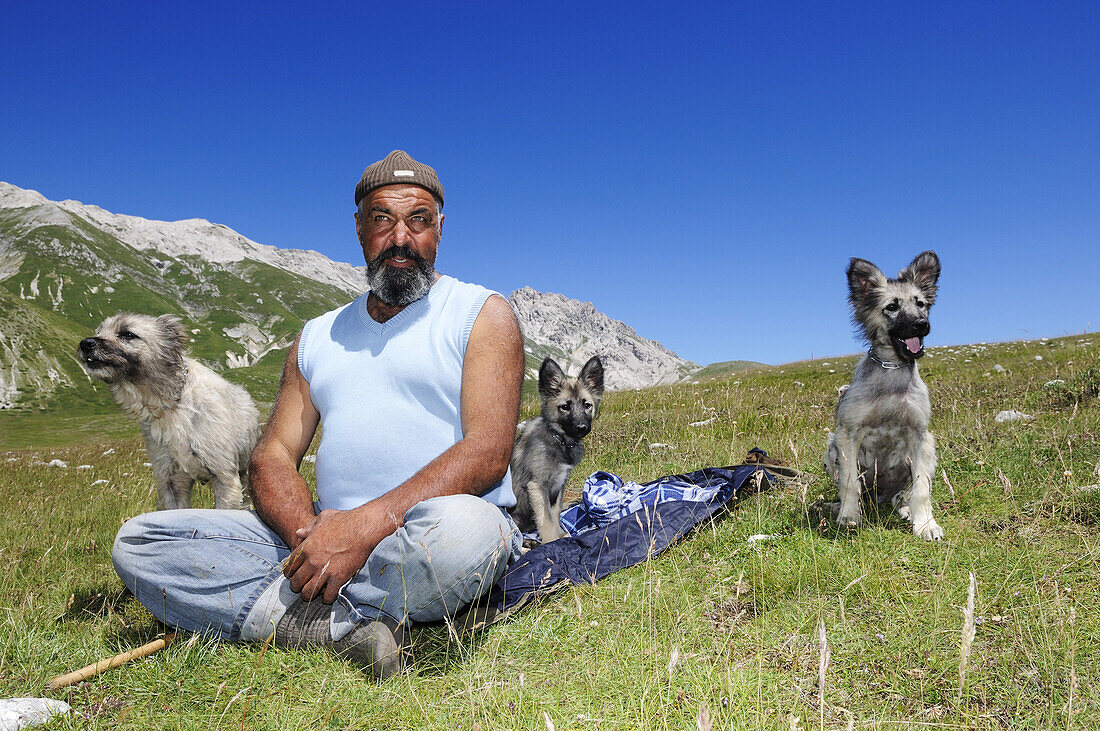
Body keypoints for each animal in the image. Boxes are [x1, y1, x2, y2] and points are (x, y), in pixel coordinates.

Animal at [79, 309, 259, 510]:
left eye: (128, 334)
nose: (85, 343)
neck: (172, 404)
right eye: (99, 331)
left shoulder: (224, 477)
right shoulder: (170, 479)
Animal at [510, 353, 607, 540]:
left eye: (587, 405)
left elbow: (555, 515)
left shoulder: (558, 485)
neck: (560, 441)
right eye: (565, 407)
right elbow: (547, 521)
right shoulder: (538, 485)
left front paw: (561, 534)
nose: (582, 428)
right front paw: (553, 541)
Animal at [827, 250, 946, 540]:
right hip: (831, 447)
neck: (892, 370)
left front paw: (926, 524)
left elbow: (921, 489)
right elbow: (850, 483)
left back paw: (904, 509)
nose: (921, 325)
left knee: (905, 494)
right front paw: (849, 517)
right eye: (891, 306)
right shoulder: (848, 434)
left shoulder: (920, 434)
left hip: (931, 448)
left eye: (921, 304)